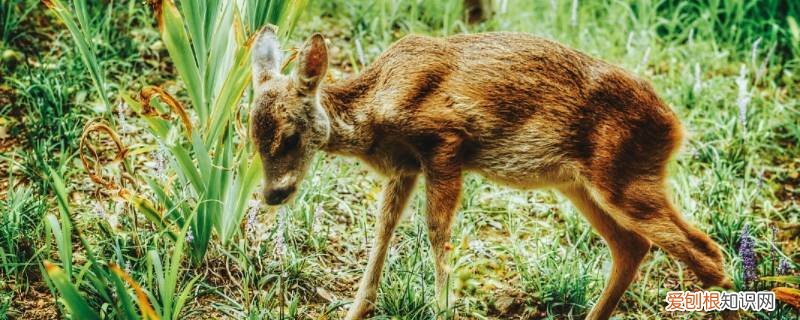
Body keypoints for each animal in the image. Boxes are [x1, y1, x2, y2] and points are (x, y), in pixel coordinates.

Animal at [250, 25, 736, 320]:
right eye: (251, 135)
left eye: (290, 137)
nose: (273, 194)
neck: (377, 106)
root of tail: (676, 128)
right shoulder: (404, 167)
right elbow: (382, 231)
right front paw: (355, 310)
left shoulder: (445, 141)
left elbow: (436, 231)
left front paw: (443, 308)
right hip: (580, 183)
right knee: (633, 246)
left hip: (624, 176)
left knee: (706, 253)